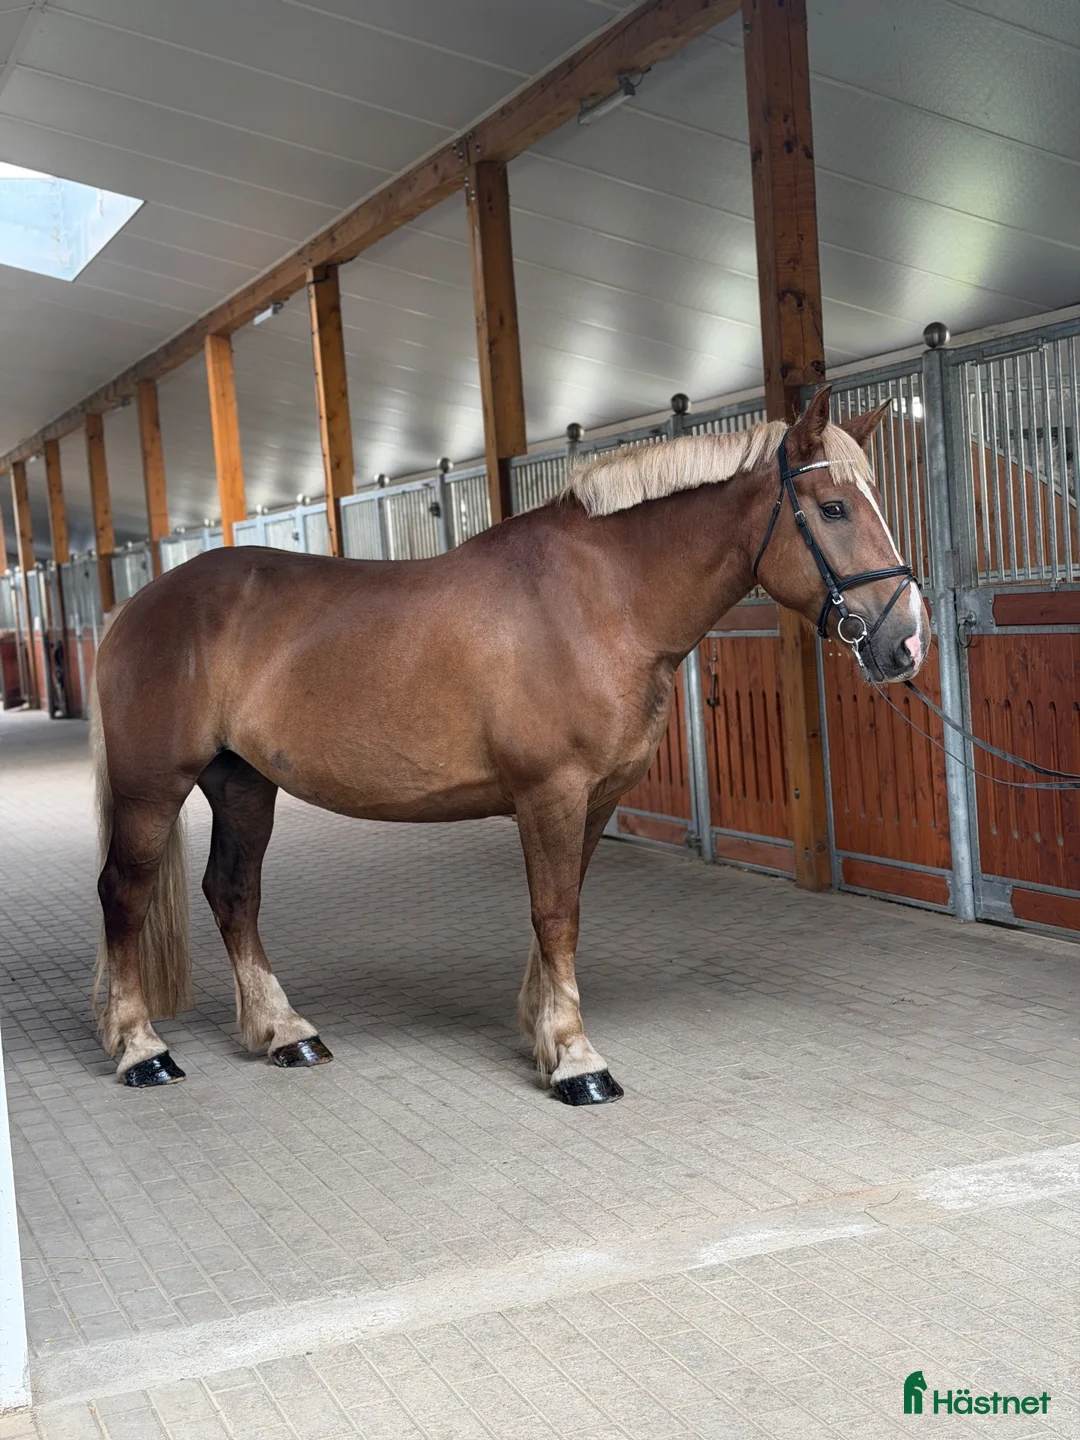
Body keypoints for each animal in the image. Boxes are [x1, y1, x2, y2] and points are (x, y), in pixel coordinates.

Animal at [91, 387, 928, 1101]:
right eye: (832, 508)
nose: (907, 643)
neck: (601, 602)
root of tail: (136, 605)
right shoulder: (550, 791)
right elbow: (555, 915)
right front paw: (577, 1061)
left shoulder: (595, 799)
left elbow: (563, 906)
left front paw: (542, 1031)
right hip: (153, 788)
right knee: (123, 894)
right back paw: (141, 1049)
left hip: (241, 782)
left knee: (234, 893)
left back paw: (284, 1032)